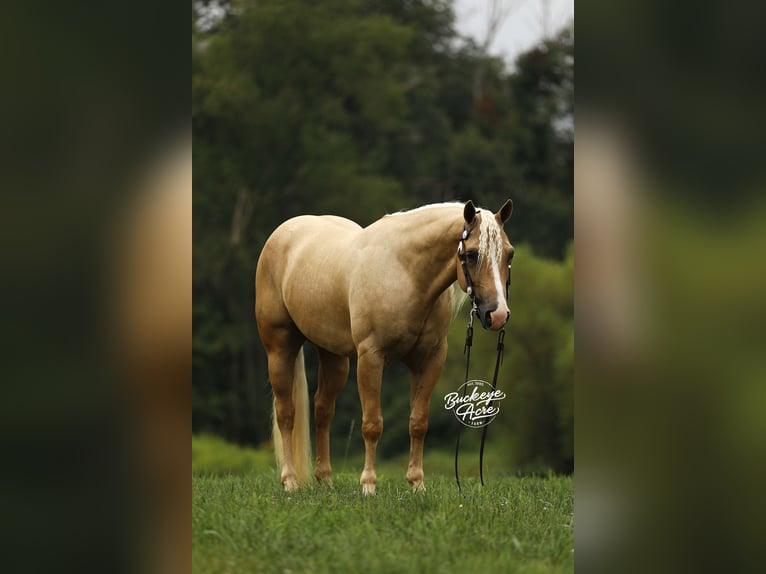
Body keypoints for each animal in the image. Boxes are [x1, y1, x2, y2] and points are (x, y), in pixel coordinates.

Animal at [255, 200, 514, 494]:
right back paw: (290, 481)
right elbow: (372, 424)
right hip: (280, 347)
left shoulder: (430, 360)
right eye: (471, 254)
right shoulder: (371, 358)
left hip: (333, 357)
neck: (406, 273)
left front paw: (417, 483)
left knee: (323, 410)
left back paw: (326, 479)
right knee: (286, 412)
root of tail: (284, 232)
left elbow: (418, 422)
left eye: (510, 254)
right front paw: (368, 485)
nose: (498, 314)